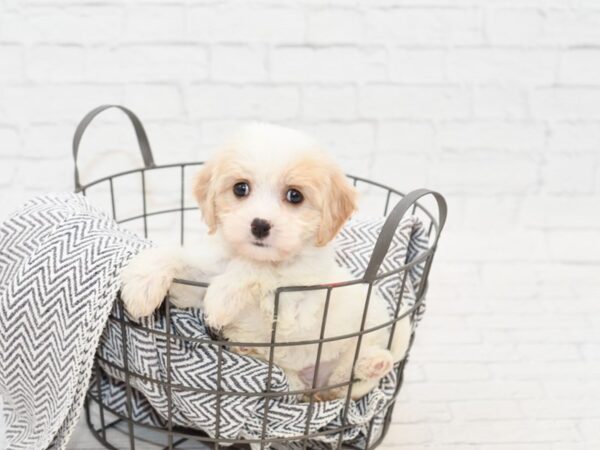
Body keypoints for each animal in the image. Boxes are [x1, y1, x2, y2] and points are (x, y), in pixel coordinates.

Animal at [122, 123, 412, 400]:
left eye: (295, 195)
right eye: (241, 188)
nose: (259, 225)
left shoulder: (294, 308)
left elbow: (263, 269)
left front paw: (223, 295)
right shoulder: (198, 282)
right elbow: (176, 256)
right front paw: (141, 286)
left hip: (363, 336)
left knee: (351, 380)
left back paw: (373, 363)